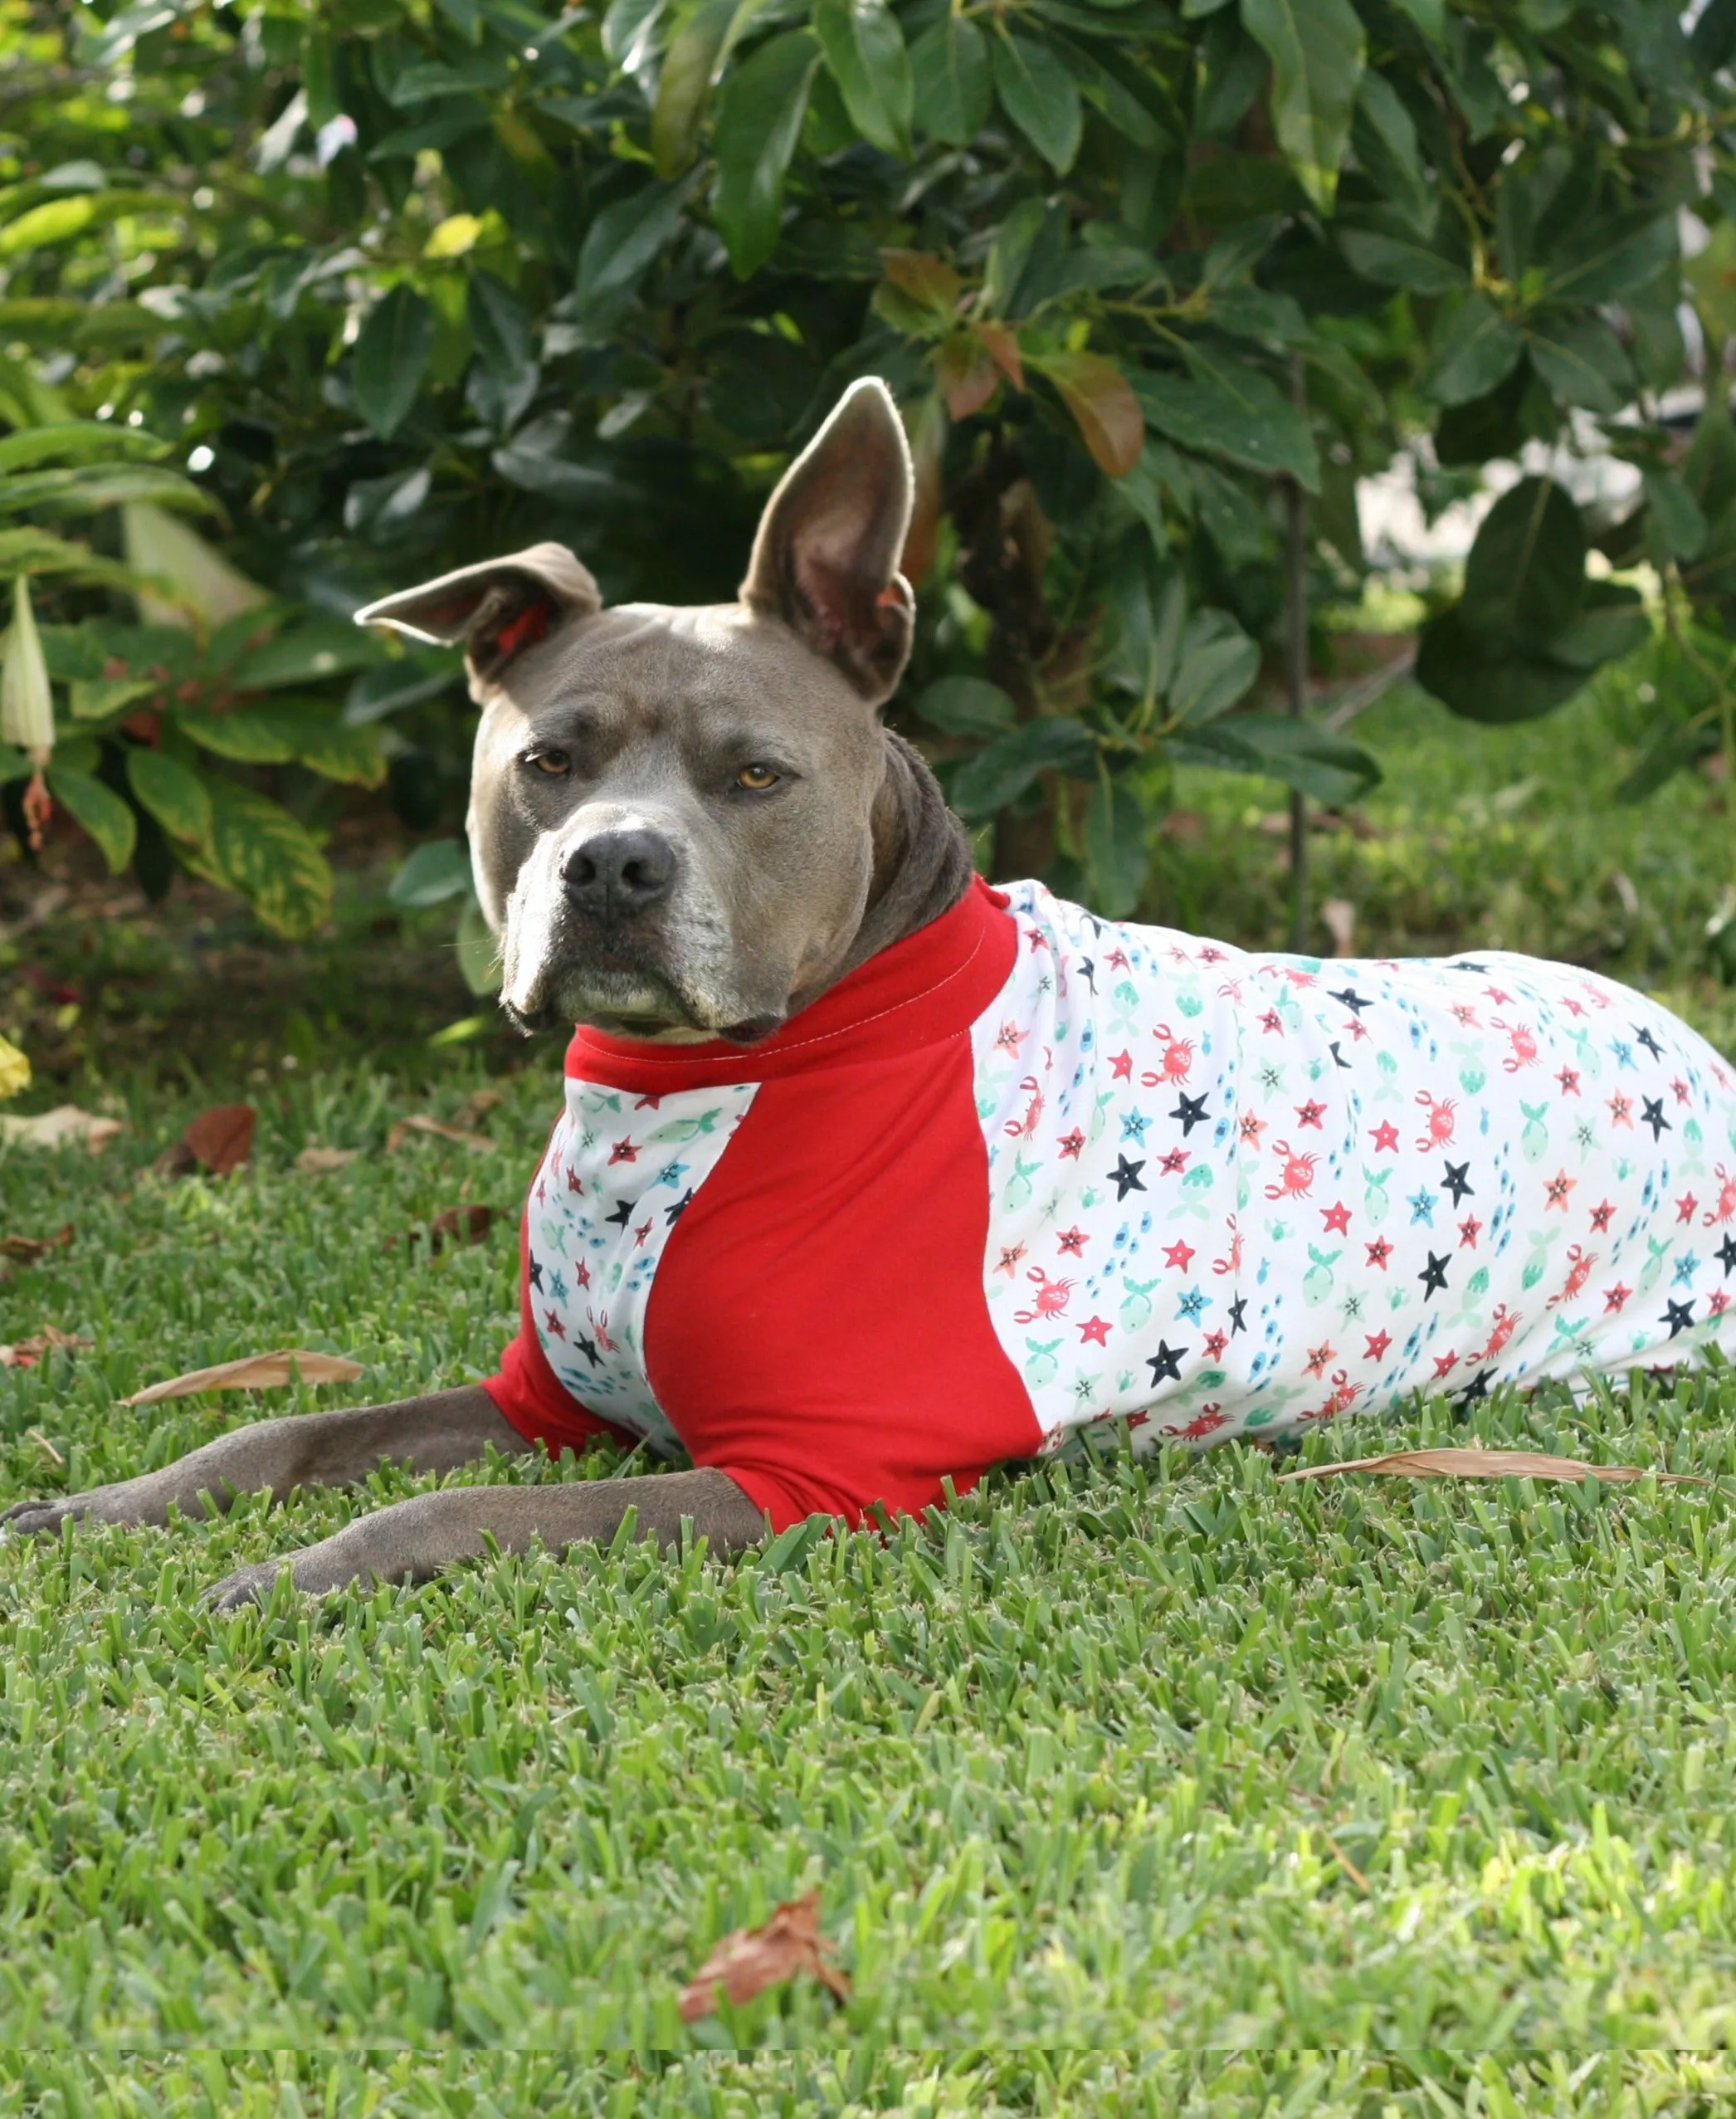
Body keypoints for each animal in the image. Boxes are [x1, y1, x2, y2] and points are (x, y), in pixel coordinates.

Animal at [3, 381, 962, 1602]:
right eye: (547, 762)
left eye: (756, 775)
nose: (612, 864)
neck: (672, 1093)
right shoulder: (543, 1400)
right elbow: (277, 1432)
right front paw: (107, 1504)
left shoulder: (808, 1481)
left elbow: (458, 1507)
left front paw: (294, 1573)